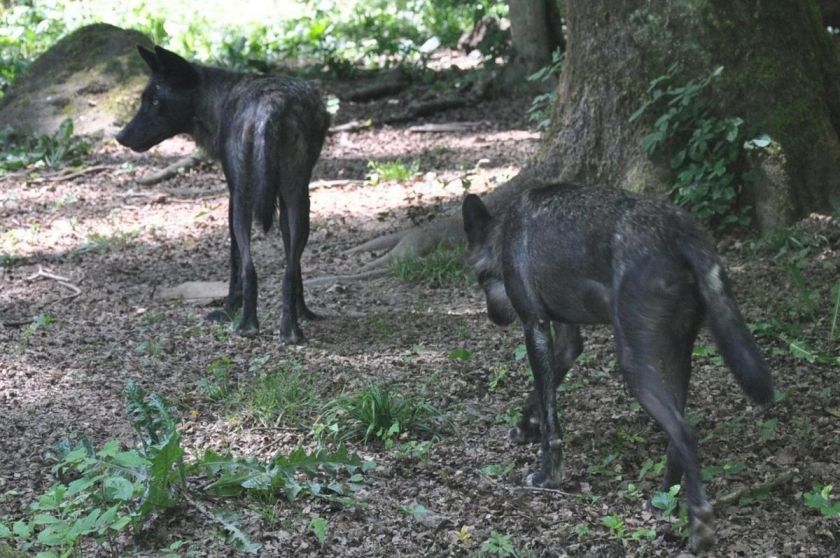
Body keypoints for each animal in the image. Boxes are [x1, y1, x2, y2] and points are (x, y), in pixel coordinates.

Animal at [118, 46, 328, 346]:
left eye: (156, 101)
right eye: (144, 100)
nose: (120, 136)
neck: (220, 99)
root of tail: (271, 105)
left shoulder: (232, 195)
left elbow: (235, 260)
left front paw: (229, 308)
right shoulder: (286, 201)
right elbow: (294, 265)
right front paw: (303, 313)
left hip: (243, 202)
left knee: (249, 268)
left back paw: (246, 325)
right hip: (298, 200)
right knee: (288, 269)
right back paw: (290, 330)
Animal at [462, 186, 776, 552]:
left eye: (480, 277)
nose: (494, 317)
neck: (504, 234)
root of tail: (680, 229)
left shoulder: (534, 326)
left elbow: (550, 420)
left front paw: (547, 476)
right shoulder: (567, 343)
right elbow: (539, 396)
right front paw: (524, 427)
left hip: (633, 365)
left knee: (685, 431)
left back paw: (699, 524)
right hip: (674, 356)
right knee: (677, 439)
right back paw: (664, 498)